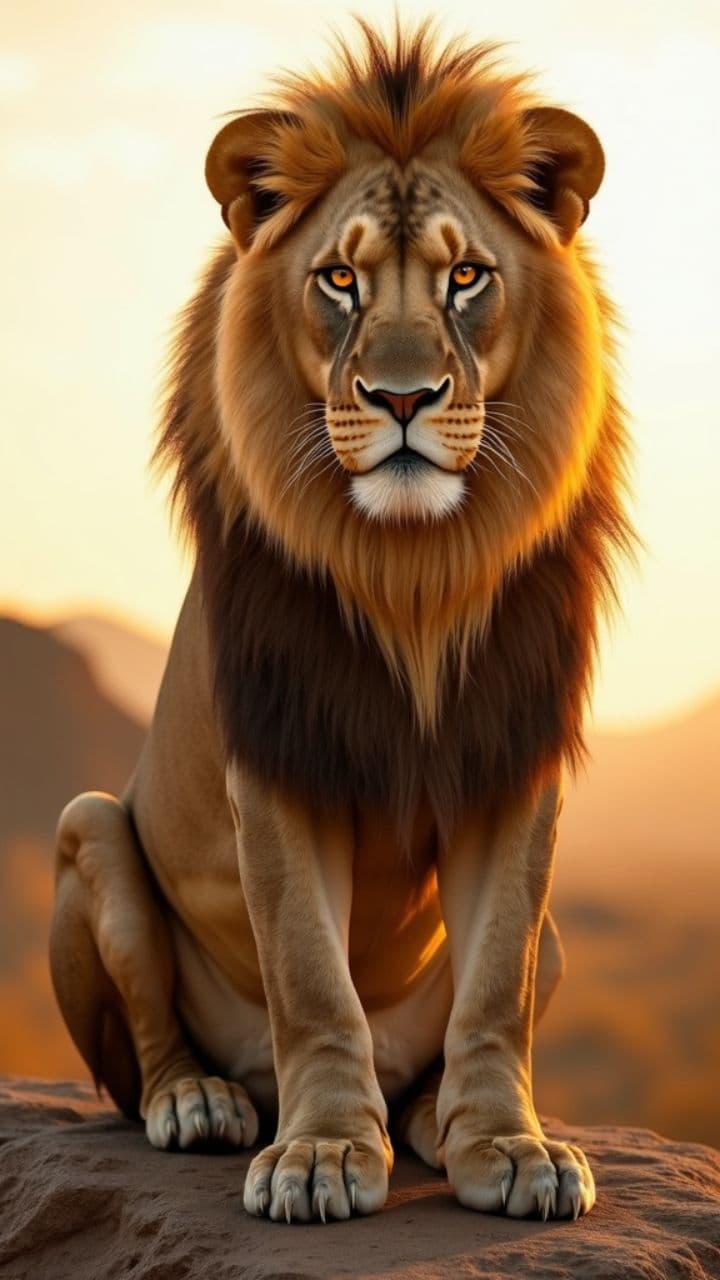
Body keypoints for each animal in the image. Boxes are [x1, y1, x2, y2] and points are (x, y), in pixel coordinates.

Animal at [49, 23, 632, 1224]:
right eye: (339, 278)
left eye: (467, 276)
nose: (402, 398)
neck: (411, 576)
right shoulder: (278, 762)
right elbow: (313, 975)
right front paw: (319, 1154)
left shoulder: (516, 757)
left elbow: (496, 982)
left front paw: (510, 1146)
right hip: (89, 830)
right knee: (148, 1061)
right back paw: (206, 1103)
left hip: (553, 941)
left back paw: (428, 1115)